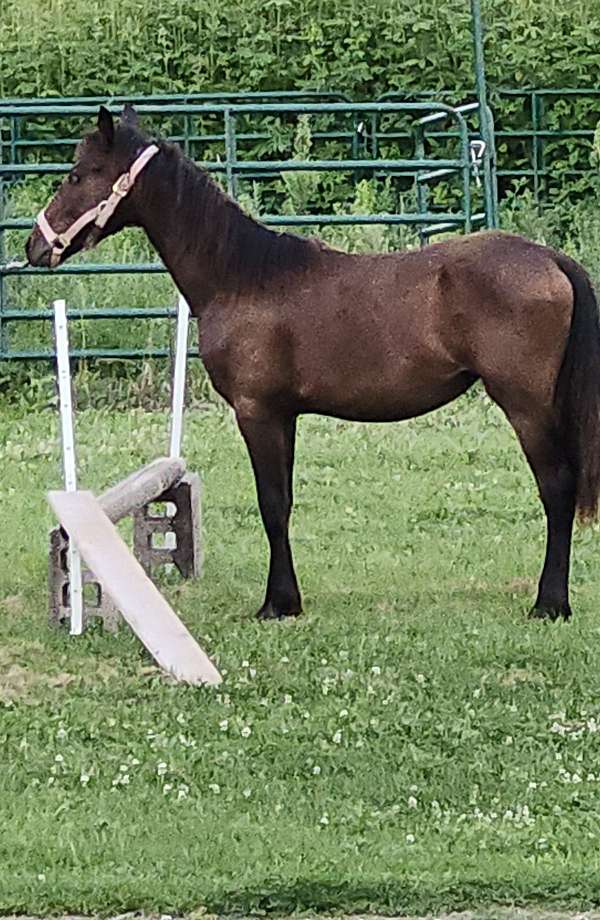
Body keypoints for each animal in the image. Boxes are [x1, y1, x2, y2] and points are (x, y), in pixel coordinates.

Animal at [25, 109, 600, 624]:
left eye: (78, 174)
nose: (34, 246)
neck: (241, 276)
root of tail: (550, 259)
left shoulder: (257, 413)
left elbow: (271, 504)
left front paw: (276, 604)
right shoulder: (285, 415)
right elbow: (284, 502)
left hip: (525, 406)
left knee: (557, 488)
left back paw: (550, 603)